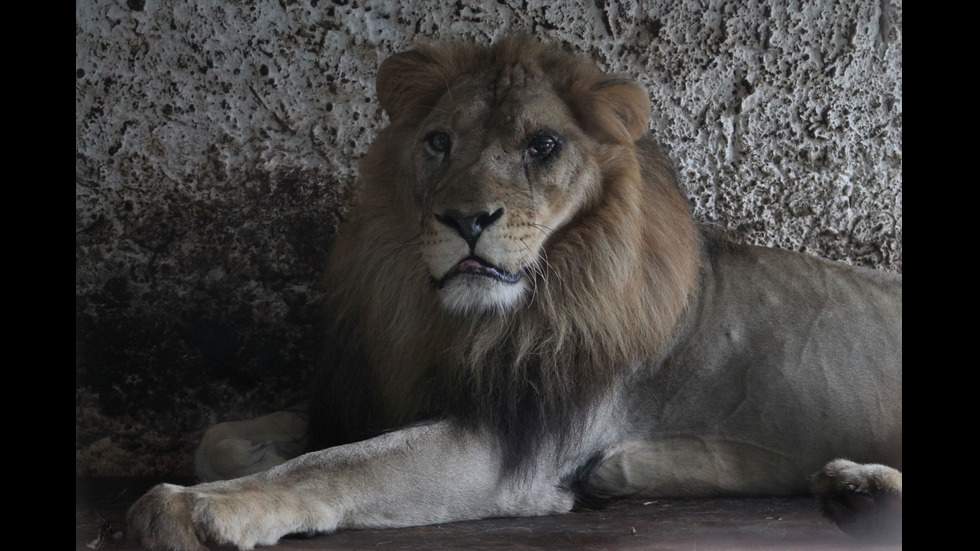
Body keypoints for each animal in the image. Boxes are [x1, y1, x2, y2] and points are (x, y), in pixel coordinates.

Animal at [126, 36, 900, 548]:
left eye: (542, 147)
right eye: (439, 141)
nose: (467, 219)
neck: (471, 323)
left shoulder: (513, 443)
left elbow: (339, 466)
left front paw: (191, 509)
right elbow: (224, 437)